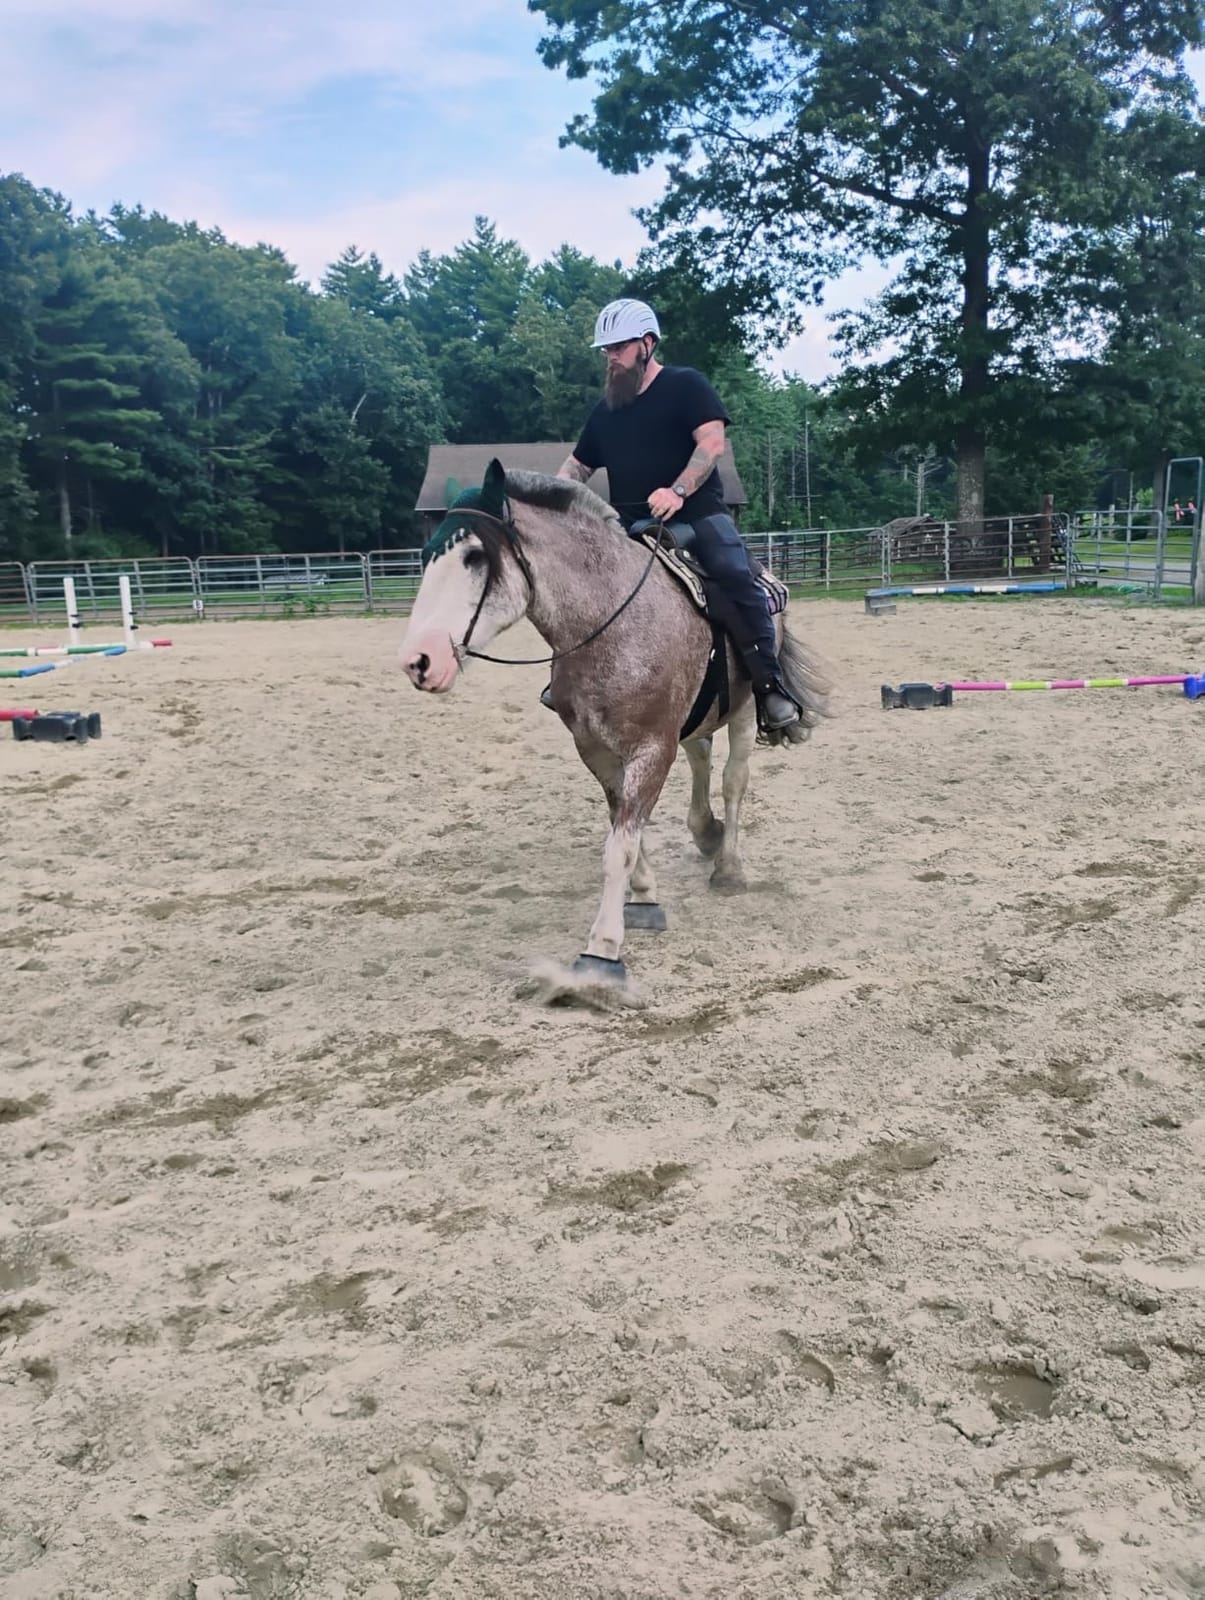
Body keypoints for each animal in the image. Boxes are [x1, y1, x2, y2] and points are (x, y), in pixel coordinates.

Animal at [400, 459, 830, 998]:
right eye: (425, 555)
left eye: (475, 556)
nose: (419, 661)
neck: (610, 621)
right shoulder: (596, 749)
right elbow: (624, 826)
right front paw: (643, 896)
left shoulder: (652, 747)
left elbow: (620, 844)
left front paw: (601, 952)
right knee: (701, 756)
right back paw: (705, 832)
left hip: (746, 707)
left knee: (734, 780)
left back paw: (728, 865)